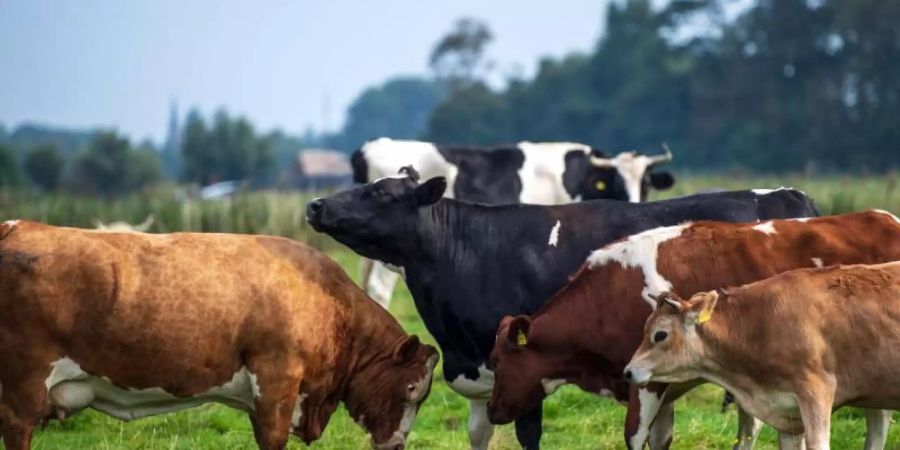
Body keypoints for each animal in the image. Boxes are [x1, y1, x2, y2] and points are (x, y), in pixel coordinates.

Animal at [306, 170, 820, 450]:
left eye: (380, 194)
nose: (314, 204)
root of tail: (790, 195)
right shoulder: (479, 373)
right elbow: (479, 433)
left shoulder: (527, 360)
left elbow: (529, 434)